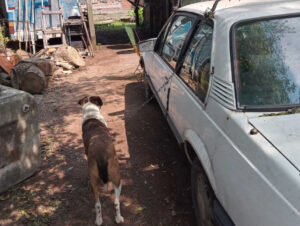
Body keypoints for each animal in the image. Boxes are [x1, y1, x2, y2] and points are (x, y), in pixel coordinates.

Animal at [78, 96, 124, 225]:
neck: (91, 114)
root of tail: (101, 153)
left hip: (97, 182)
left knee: (98, 204)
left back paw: (99, 220)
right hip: (117, 180)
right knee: (115, 202)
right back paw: (117, 218)